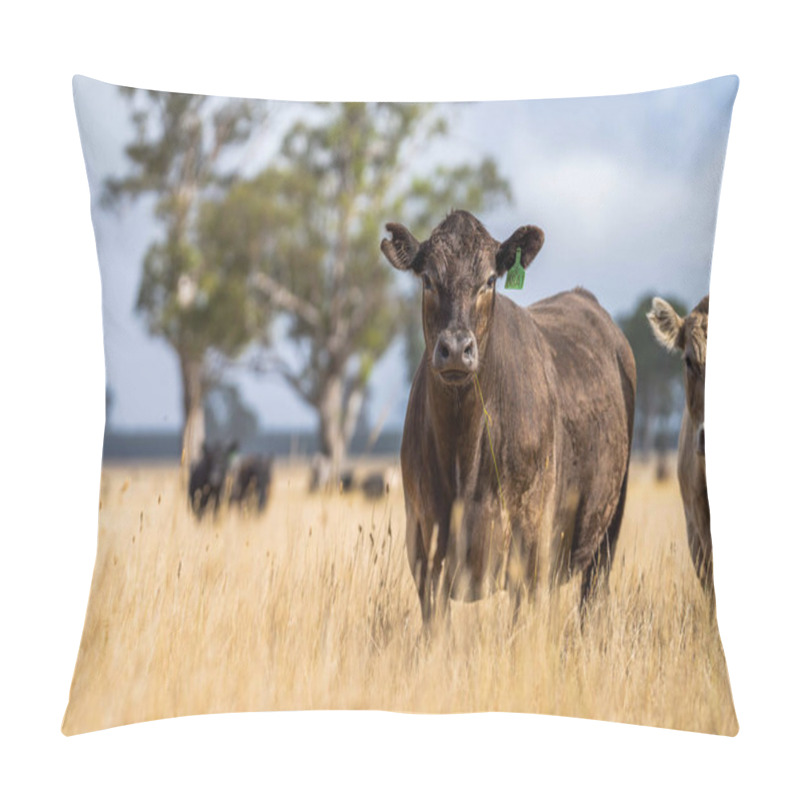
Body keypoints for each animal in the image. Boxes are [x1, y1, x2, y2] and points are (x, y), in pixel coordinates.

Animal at [382, 209, 636, 628]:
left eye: (489, 280)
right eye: (428, 279)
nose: (456, 348)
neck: (464, 457)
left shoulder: (529, 553)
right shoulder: (424, 553)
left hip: (606, 533)